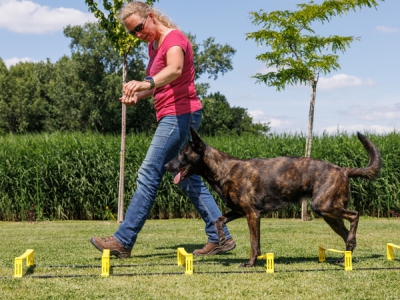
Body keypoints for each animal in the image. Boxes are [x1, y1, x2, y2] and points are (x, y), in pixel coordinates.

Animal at [165, 126, 382, 268]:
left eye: (182, 153)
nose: (166, 165)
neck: (224, 170)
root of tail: (343, 170)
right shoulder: (239, 211)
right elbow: (219, 219)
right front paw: (220, 239)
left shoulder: (252, 214)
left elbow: (254, 243)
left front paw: (250, 263)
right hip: (329, 215)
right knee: (347, 234)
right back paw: (345, 256)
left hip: (324, 207)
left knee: (355, 215)